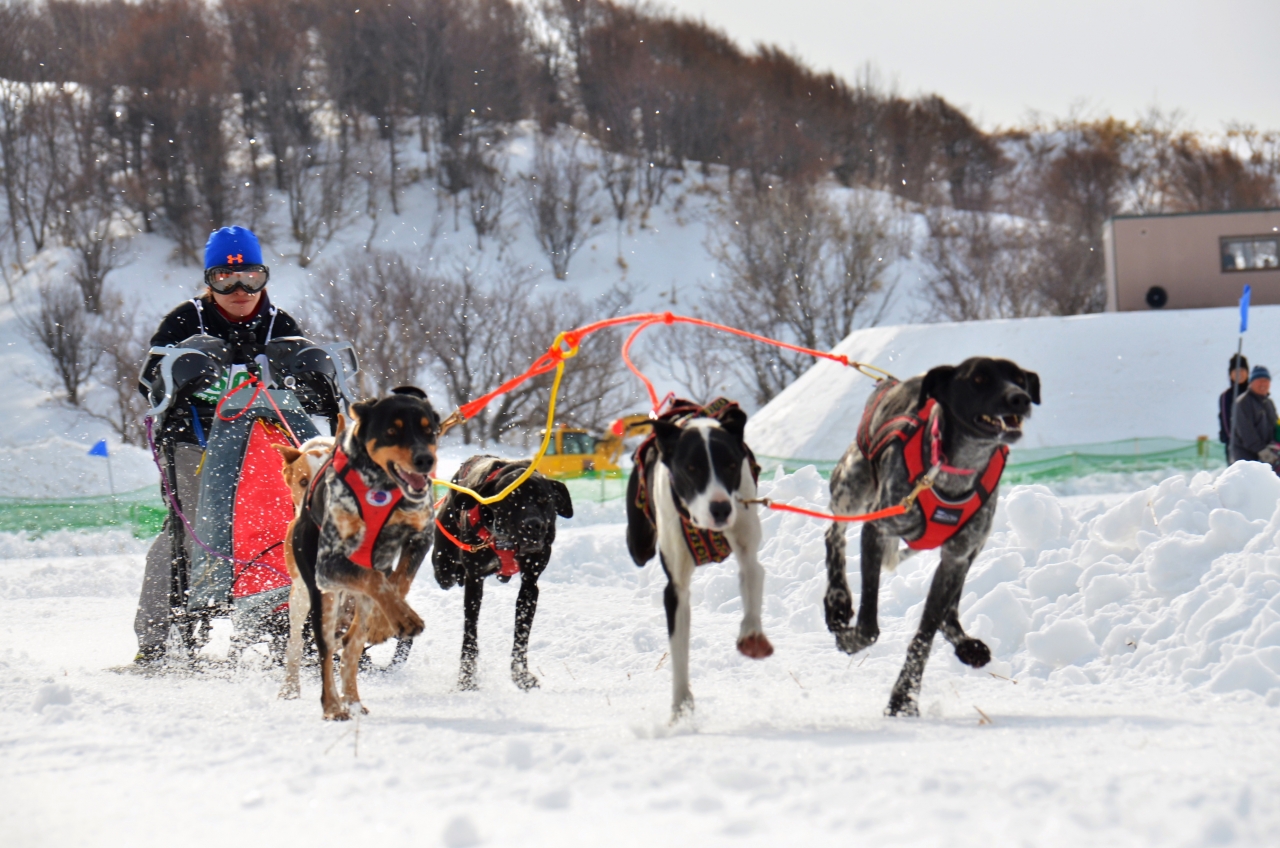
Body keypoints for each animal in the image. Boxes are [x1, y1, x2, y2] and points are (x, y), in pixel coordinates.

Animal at [290, 389, 440, 722]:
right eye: (392, 431)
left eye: (429, 430)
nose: (426, 460)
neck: (381, 486)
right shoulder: (328, 564)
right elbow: (374, 578)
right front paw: (402, 618)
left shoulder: (421, 536)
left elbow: (398, 581)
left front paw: (387, 623)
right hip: (321, 594)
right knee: (326, 650)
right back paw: (333, 705)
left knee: (351, 645)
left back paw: (354, 701)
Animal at [432, 461, 573, 696]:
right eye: (512, 500)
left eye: (545, 499)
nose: (533, 525)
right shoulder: (474, 581)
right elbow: (470, 635)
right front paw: (466, 680)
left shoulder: (530, 583)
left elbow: (521, 637)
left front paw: (521, 676)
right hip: (443, 569)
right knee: (449, 574)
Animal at [627, 402, 768, 722]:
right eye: (692, 468)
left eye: (730, 465)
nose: (721, 508)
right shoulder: (676, 588)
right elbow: (679, 651)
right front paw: (681, 707)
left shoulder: (746, 545)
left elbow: (752, 574)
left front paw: (752, 634)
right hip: (639, 545)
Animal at [819, 356, 1039, 717]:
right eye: (979, 378)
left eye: (1019, 378)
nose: (1019, 398)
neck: (952, 470)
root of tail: (889, 382)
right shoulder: (876, 529)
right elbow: (869, 627)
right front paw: (850, 639)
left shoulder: (956, 556)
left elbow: (925, 634)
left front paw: (903, 699)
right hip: (851, 488)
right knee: (832, 532)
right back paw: (837, 600)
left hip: (971, 552)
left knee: (950, 609)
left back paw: (964, 643)